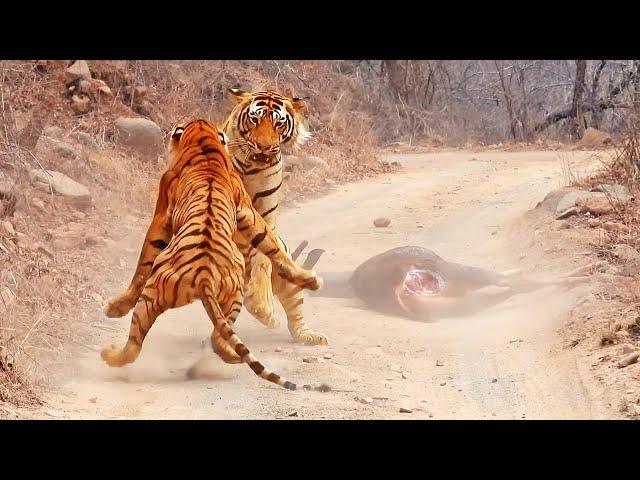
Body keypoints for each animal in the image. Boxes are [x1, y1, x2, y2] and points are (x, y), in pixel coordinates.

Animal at [102, 119, 322, 390]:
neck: (204, 142)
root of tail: (203, 276)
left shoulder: (162, 213)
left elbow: (143, 264)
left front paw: (116, 307)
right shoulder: (246, 209)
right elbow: (271, 243)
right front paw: (309, 279)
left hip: (156, 297)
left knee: (140, 344)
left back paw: (110, 355)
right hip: (220, 296)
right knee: (212, 338)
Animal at [222, 88, 328, 344]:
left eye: (278, 123)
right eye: (254, 119)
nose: (263, 146)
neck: (252, 167)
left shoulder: (267, 215)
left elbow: (263, 258)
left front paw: (263, 306)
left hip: (290, 286)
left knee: (295, 313)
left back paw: (309, 336)